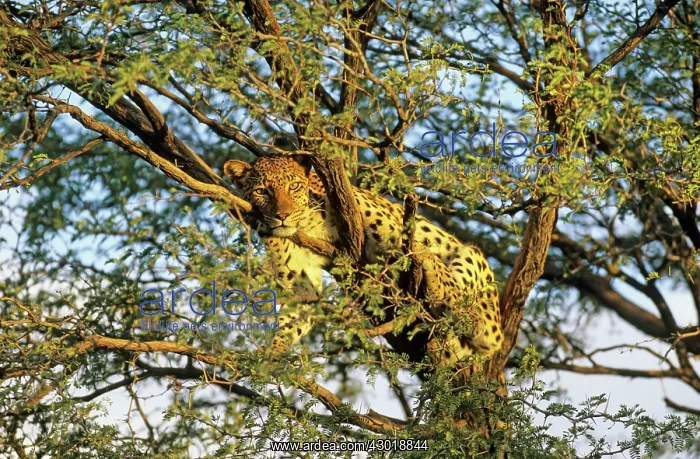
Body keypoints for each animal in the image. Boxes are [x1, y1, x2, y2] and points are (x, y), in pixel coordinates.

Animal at [223, 155, 503, 366]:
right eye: (262, 191)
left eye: (294, 186)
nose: (283, 216)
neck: (306, 226)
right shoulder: (300, 282)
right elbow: (293, 319)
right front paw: (272, 353)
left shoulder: (389, 227)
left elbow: (413, 249)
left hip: (474, 265)